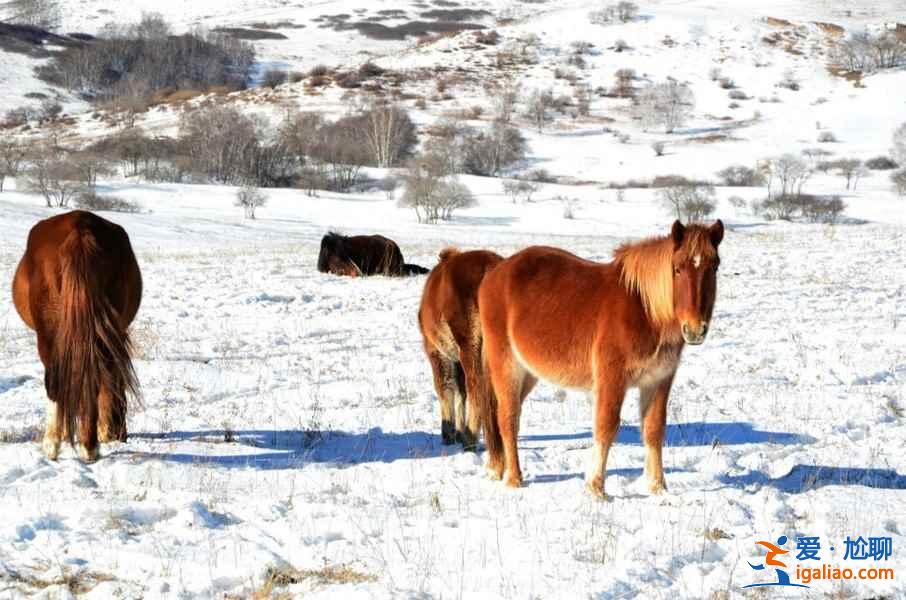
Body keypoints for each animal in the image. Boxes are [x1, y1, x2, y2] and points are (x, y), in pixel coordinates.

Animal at [12, 212, 141, 464]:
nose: (121, 435)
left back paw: (55, 444)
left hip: (48, 337)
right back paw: (88, 445)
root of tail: (80, 228)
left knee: (54, 382)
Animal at [416, 248, 502, 450]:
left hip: (470, 348)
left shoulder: (437, 353)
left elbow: (445, 387)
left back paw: (470, 438)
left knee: (475, 388)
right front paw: (459, 430)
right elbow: (460, 392)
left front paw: (449, 433)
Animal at [476, 220, 724, 496]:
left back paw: (499, 469)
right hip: (507, 365)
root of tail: (495, 272)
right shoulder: (612, 379)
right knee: (507, 418)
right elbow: (606, 427)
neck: (646, 311)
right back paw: (514, 479)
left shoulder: (658, 381)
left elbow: (654, 430)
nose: (695, 329)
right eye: (678, 269)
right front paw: (597, 488)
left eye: (714, 266)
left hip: (529, 373)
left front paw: (658, 487)